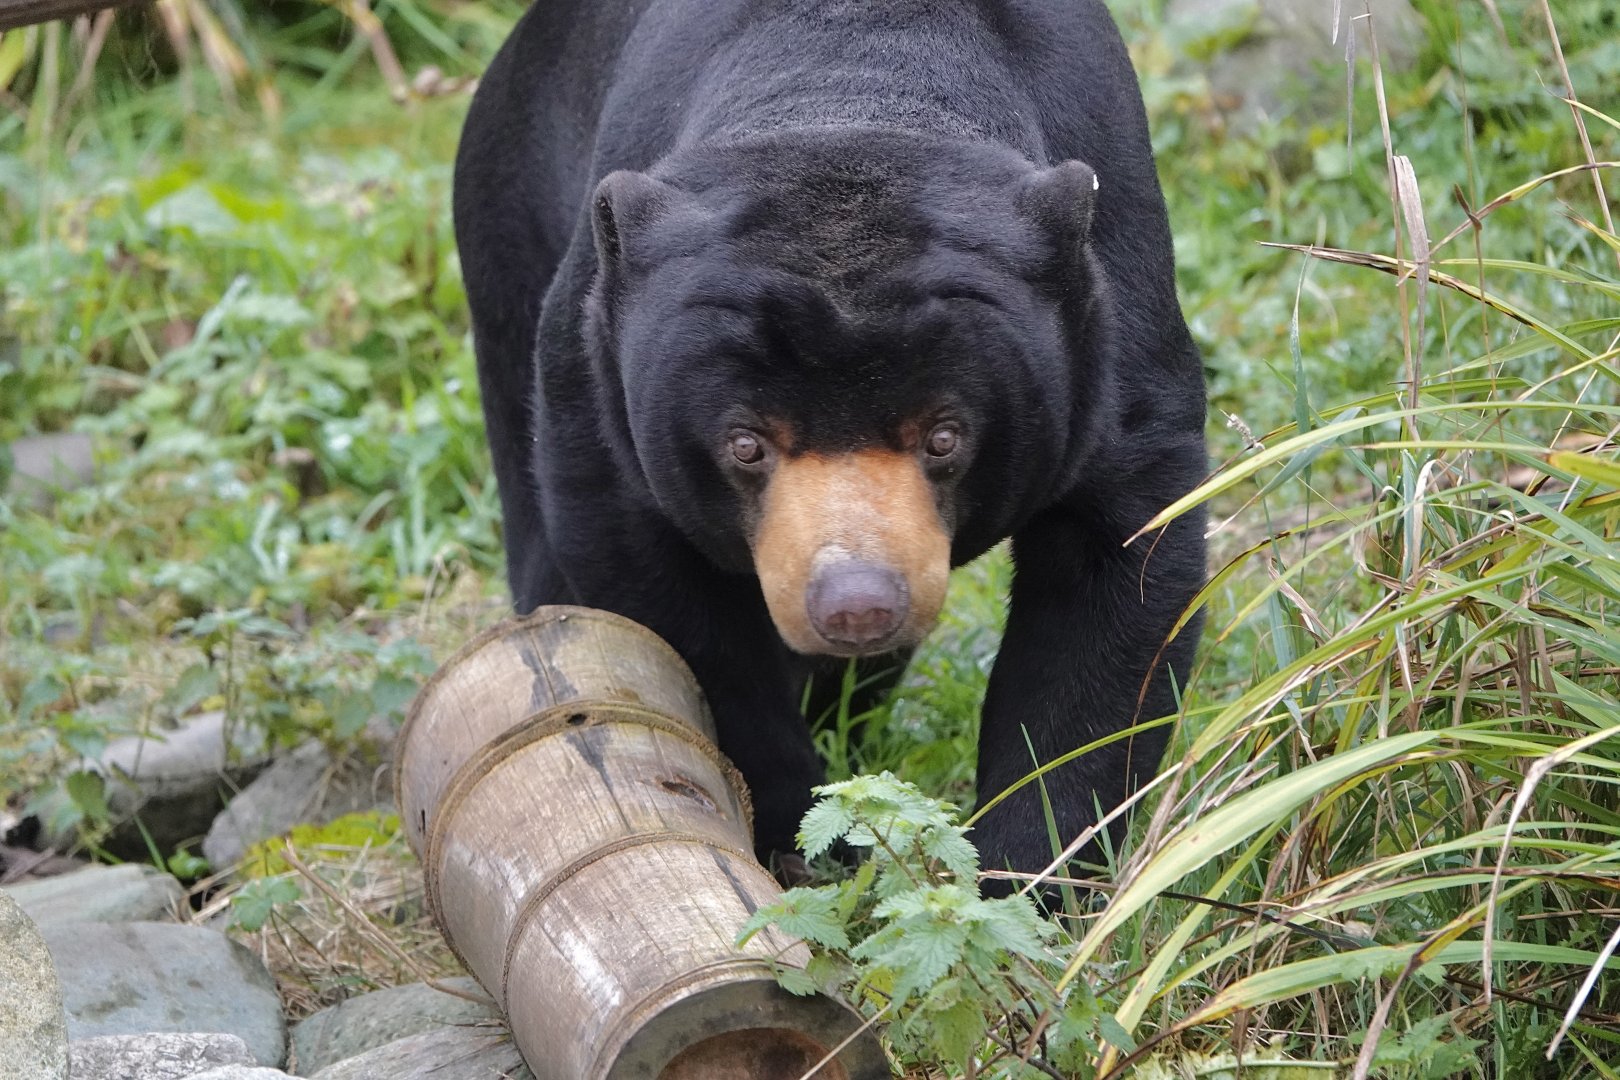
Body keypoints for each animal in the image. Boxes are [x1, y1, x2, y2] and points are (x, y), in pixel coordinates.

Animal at [452, 0, 1207, 888]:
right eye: (746, 445)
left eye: (943, 436)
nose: (857, 604)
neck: (851, 93)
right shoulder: (596, 376)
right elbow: (669, 609)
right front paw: (808, 840)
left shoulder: (1114, 321)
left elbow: (1114, 581)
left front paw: (1026, 875)